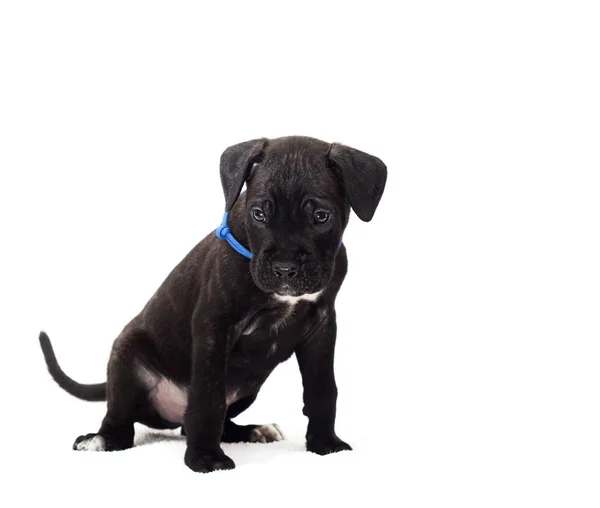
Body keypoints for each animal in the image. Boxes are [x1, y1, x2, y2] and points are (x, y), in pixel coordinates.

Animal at [42, 136, 390, 472]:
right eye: (259, 214)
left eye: (321, 216)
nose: (285, 268)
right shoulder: (215, 324)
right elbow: (208, 398)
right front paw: (205, 459)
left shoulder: (321, 326)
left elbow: (322, 389)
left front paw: (325, 444)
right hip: (127, 357)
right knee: (122, 420)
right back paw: (101, 439)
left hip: (249, 386)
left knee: (204, 422)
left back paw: (253, 430)